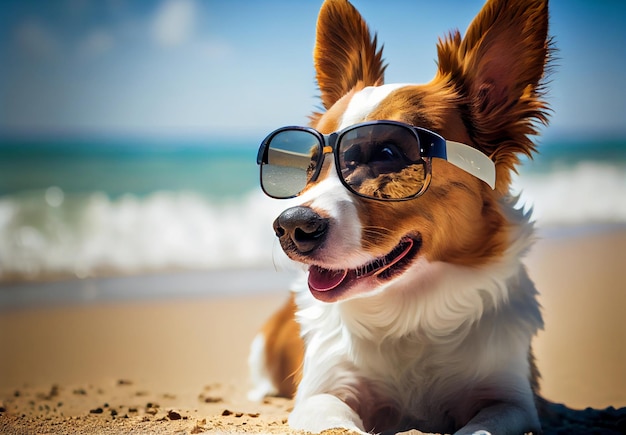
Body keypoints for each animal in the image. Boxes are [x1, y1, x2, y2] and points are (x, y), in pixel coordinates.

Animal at [249, 0, 552, 434]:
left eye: (387, 154)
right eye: (309, 166)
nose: (292, 225)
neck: (409, 312)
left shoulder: (512, 400)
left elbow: (480, 426)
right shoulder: (321, 394)